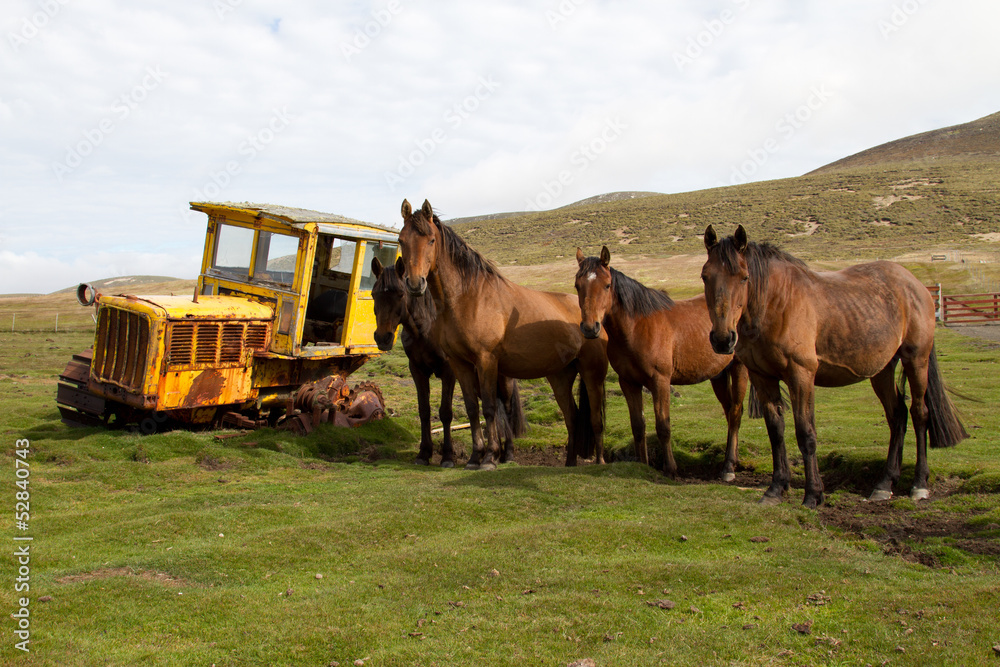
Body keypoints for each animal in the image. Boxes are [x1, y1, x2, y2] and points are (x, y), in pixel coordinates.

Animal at [374, 253, 528, 468]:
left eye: (401, 294)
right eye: (374, 294)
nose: (383, 338)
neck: (426, 328)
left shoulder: (448, 371)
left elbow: (445, 412)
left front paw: (448, 456)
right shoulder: (417, 370)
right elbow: (424, 411)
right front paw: (424, 453)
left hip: (503, 382)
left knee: (507, 409)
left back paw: (509, 453)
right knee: (495, 411)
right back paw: (496, 453)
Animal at [394, 198, 604, 470]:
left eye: (430, 240)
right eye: (401, 240)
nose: (415, 284)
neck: (468, 297)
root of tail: (593, 318)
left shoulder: (486, 361)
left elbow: (490, 408)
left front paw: (490, 457)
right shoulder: (459, 364)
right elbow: (472, 408)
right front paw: (475, 456)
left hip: (591, 374)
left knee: (594, 417)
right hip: (560, 376)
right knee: (573, 416)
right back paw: (570, 463)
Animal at [576, 245, 748, 480]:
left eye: (607, 285)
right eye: (577, 285)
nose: (589, 328)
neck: (637, 327)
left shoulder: (660, 382)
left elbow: (663, 426)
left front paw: (671, 469)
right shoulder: (628, 383)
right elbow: (638, 426)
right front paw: (643, 464)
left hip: (739, 369)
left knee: (736, 412)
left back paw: (729, 467)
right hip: (719, 375)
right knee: (729, 411)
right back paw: (733, 459)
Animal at [700, 224, 964, 506]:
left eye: (744, 277)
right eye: (705, 276)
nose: (722, 339)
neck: (776, 303)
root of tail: (916, 286)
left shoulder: (801, 375)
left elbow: (806, 433)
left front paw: (813, 494)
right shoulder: (762, 377)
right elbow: (776, 431)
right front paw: (776, 488)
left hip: (916, 360)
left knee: (919, 413)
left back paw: (919, 484)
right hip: (881, 370)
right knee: (897, 416)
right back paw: (884, 484)